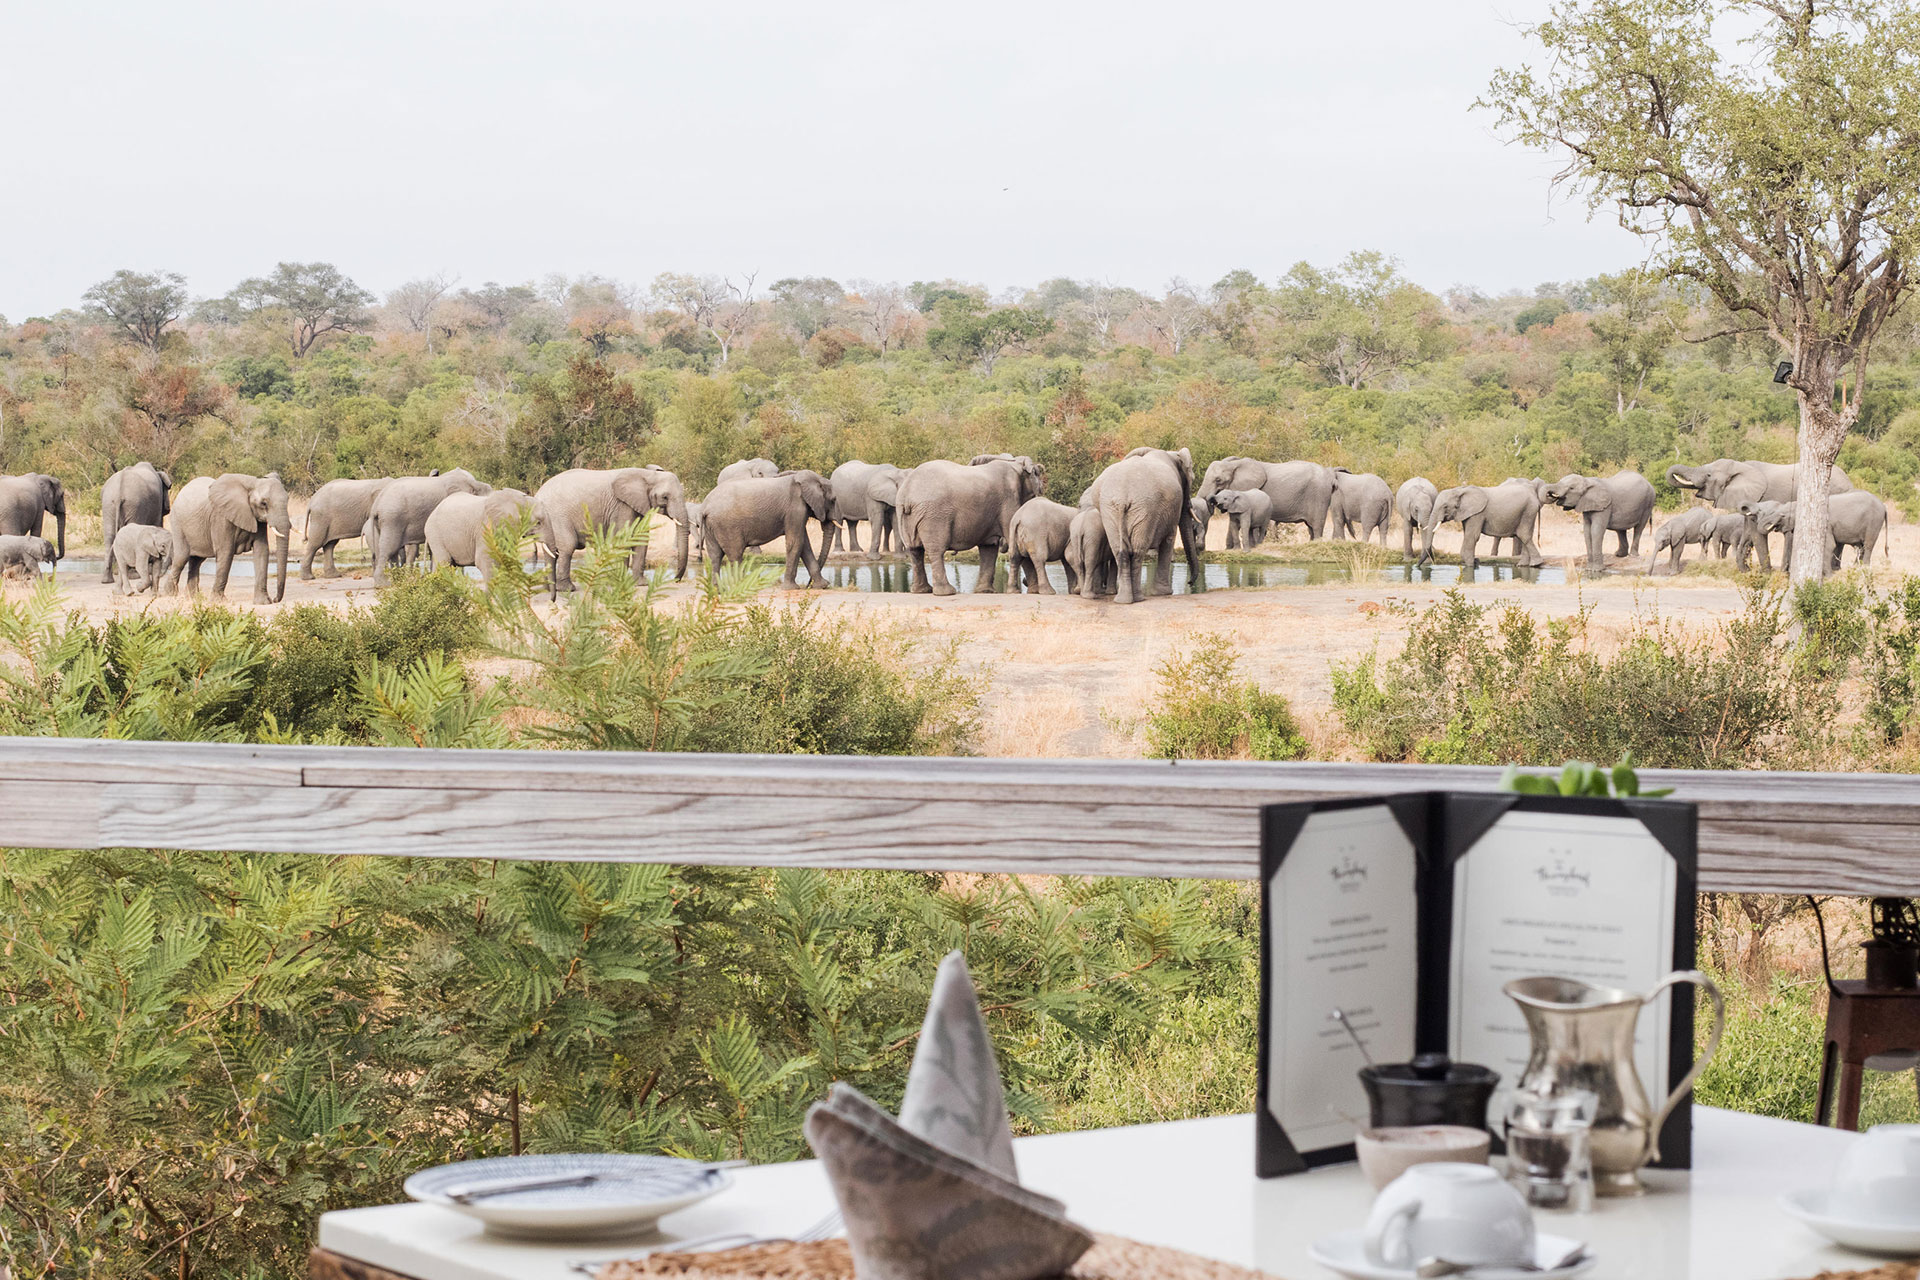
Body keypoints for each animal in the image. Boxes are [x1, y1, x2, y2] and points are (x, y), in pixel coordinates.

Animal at [162, 472, 291, 603]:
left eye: (287, 500)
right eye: (264, 503)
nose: (275, 599)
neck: (253, 483)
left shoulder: (257, 520)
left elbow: (262, 551)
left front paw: (263, 602)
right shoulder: (221, 517)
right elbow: (226, 552)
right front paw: (219, 601)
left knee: (196, 561)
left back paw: (193, 598)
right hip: (178, 524)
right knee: (181, 558)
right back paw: (170, 595)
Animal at [533, 465, 693, 594]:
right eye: (665, 497)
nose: (676, 579)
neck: (647, 474)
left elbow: (641, 539)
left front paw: (640, 584)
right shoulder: (622, 506)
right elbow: (624, 538)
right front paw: (621, 582)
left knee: (553, 551)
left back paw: (549, 588)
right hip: (556, 516)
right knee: (567, 546)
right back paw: (567, 589)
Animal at [702, 469, 832, 588]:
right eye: (833, 500)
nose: (808, 585)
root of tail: (706, 506)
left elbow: (804, 543)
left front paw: (821, 586)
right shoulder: (795, 508)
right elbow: (796, 542)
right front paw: (791, 588)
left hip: (711, 526)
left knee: (715, 555)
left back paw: (717, 589)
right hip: (728, 526)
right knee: (735, 555)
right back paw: (742, 585)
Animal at [897, 456, 1045, 596]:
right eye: (1037, 473)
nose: (1043, 487)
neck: (1016, 464)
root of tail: (906, 495)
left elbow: (989, 547)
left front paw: (985, 592)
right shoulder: (1009, 500)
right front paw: (1035, 591)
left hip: (907, 517)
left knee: (915, 550)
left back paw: (921, 590)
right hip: (934, 516)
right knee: (935, 550)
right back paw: (946, 592)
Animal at [1087, 447, 1200, 605]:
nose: (1190, 583)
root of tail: (1122, 497)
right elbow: (1169, 540)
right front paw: (1164, 593)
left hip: (1112, 510)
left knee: (1120, 550)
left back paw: (1123, 600)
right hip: (1145, 510)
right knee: (1138, 551)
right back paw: (1138, 598)